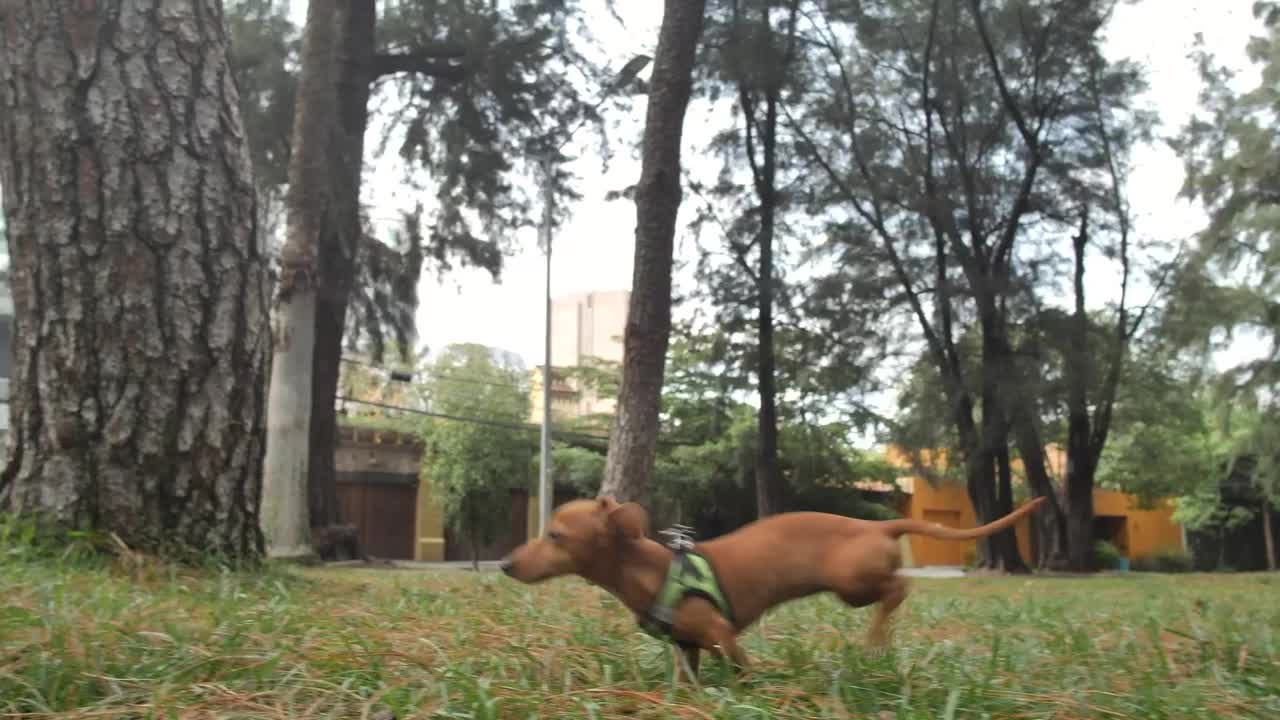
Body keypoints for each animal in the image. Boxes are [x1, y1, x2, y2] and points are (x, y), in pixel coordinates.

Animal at [496, 497, 1039, 676]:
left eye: (555, 535)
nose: (503, 563)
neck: (652, 569)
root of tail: (877, 525)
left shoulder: (721, 633)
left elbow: (739, 667)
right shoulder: (688, 646)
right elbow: (689, 675)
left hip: (852, 584)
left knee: (899, 587)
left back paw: (876, 641)